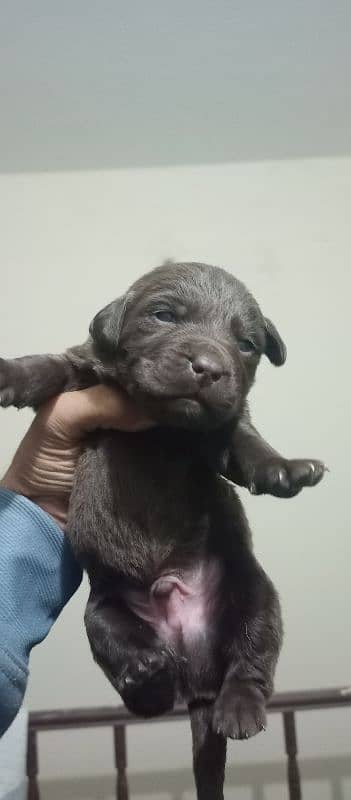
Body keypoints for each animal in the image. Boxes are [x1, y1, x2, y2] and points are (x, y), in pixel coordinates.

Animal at [0, 264, 326, 800]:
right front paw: (11, 372)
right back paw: (146, 670)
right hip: (103, 611)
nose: (209, 368)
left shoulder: (222, 428)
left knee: (252, 656)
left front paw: (283, 466)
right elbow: (50, 366)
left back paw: (237, 708)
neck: (162, 422)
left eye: (246, 343)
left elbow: (244, 438)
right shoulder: (83, 372)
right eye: (164, 315)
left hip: (253, 591)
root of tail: (198, 681)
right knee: (141, 692)